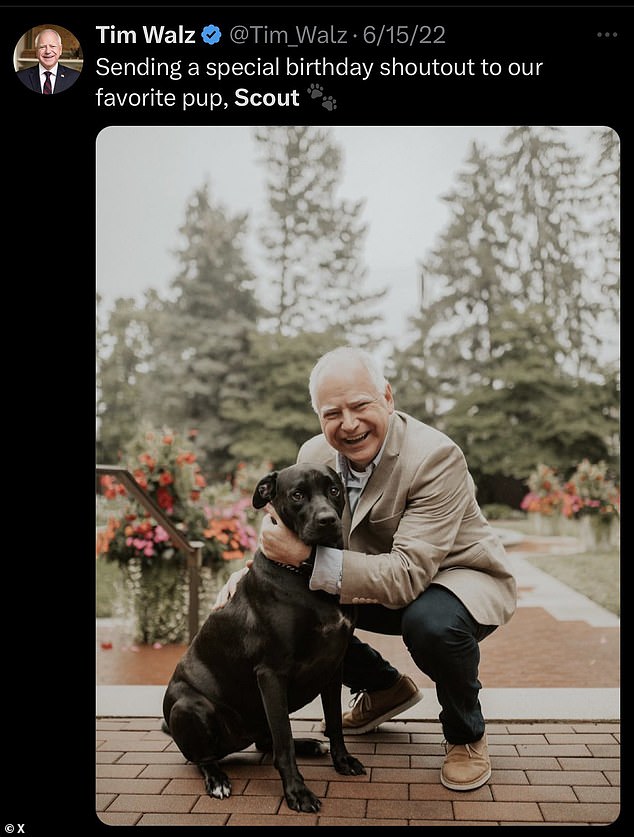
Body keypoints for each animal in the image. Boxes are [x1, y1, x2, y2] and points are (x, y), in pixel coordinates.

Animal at [160, 464, 362, 808]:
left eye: (334, 490)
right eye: (297, 495)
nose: (327, 520)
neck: (305, 575)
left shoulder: (334, 666)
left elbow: (334, 722)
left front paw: (342, 760)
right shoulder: (271, 674)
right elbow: (284, 742)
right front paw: (296, 792)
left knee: (265, 742)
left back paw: (310, 744)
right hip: (189, 707)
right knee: (202, 757)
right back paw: (217, 779)